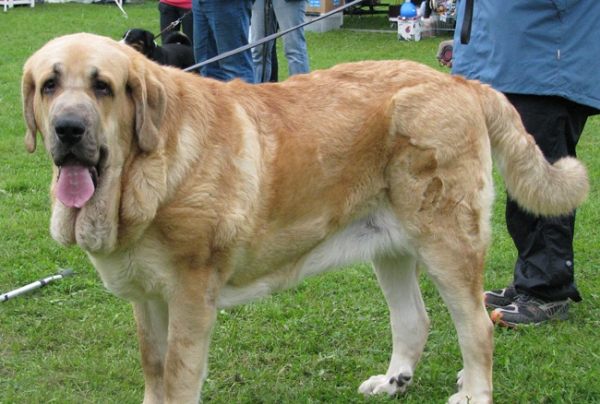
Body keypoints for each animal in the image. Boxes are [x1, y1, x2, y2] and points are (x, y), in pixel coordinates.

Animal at [19, 33, 592, 402]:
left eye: (103, 87)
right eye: (49, 86)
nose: (68, 129)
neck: (142, 169)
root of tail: (464, 84)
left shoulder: (189, 296)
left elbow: (178, 379)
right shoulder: (149, 298)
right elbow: (154, 372)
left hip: (447, 241)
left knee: (475, 327)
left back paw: (473, 392)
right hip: (392, 247)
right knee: (414, 320)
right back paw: (393, 382)